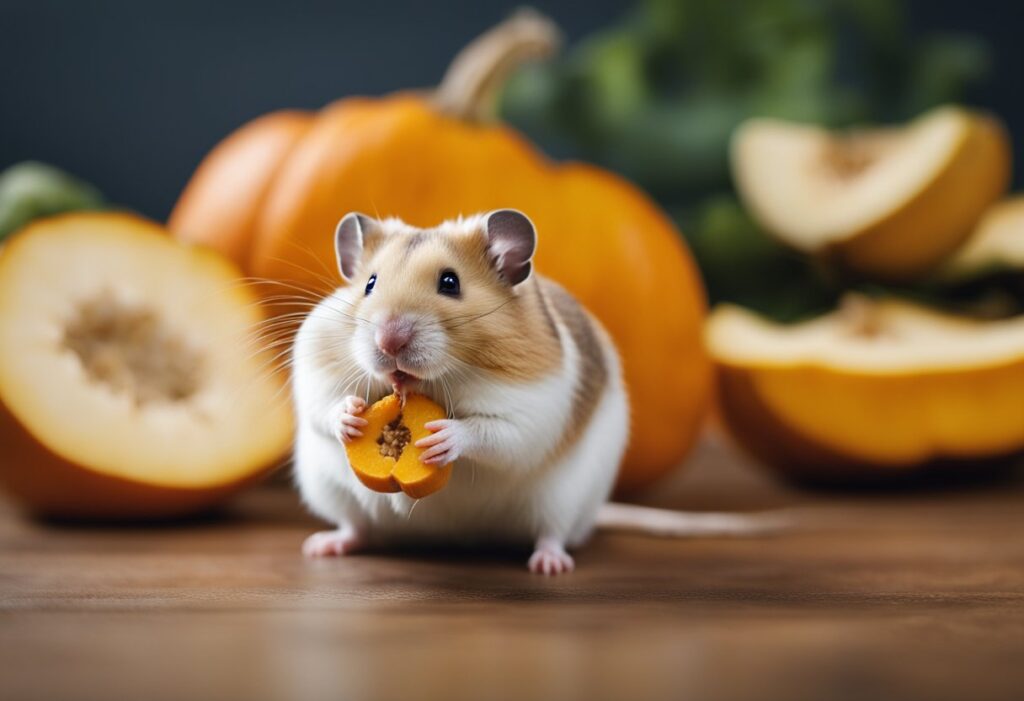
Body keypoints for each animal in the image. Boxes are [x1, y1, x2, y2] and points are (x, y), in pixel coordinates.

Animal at [292, 209, 778, 575]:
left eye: (450, 283)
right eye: (369, 284)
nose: (388, 342)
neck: (439, 381)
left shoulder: (531, 411)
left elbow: (492, 434)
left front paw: (444, 437)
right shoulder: (312, 369)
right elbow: (323, 403)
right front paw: (351, 415)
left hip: (563, 499)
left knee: (552, 533)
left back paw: (549, 565)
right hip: (328, 491)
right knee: (357, 527)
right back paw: (323, 545)